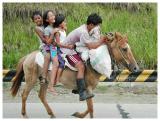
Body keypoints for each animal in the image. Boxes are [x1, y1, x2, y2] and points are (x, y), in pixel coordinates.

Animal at [10, 31, 139, 118]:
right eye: (124, 49)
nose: (136, 68)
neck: (90, 63)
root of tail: (28, 56)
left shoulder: (88, 91)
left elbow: (89, 108)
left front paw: (78, 114)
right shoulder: (88, 88)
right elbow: (91, 108)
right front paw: (80, 114)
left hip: (44, 81)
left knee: (41, 96)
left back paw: (51, 114)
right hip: (31, 80)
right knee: (24, 95)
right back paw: (24, 114)